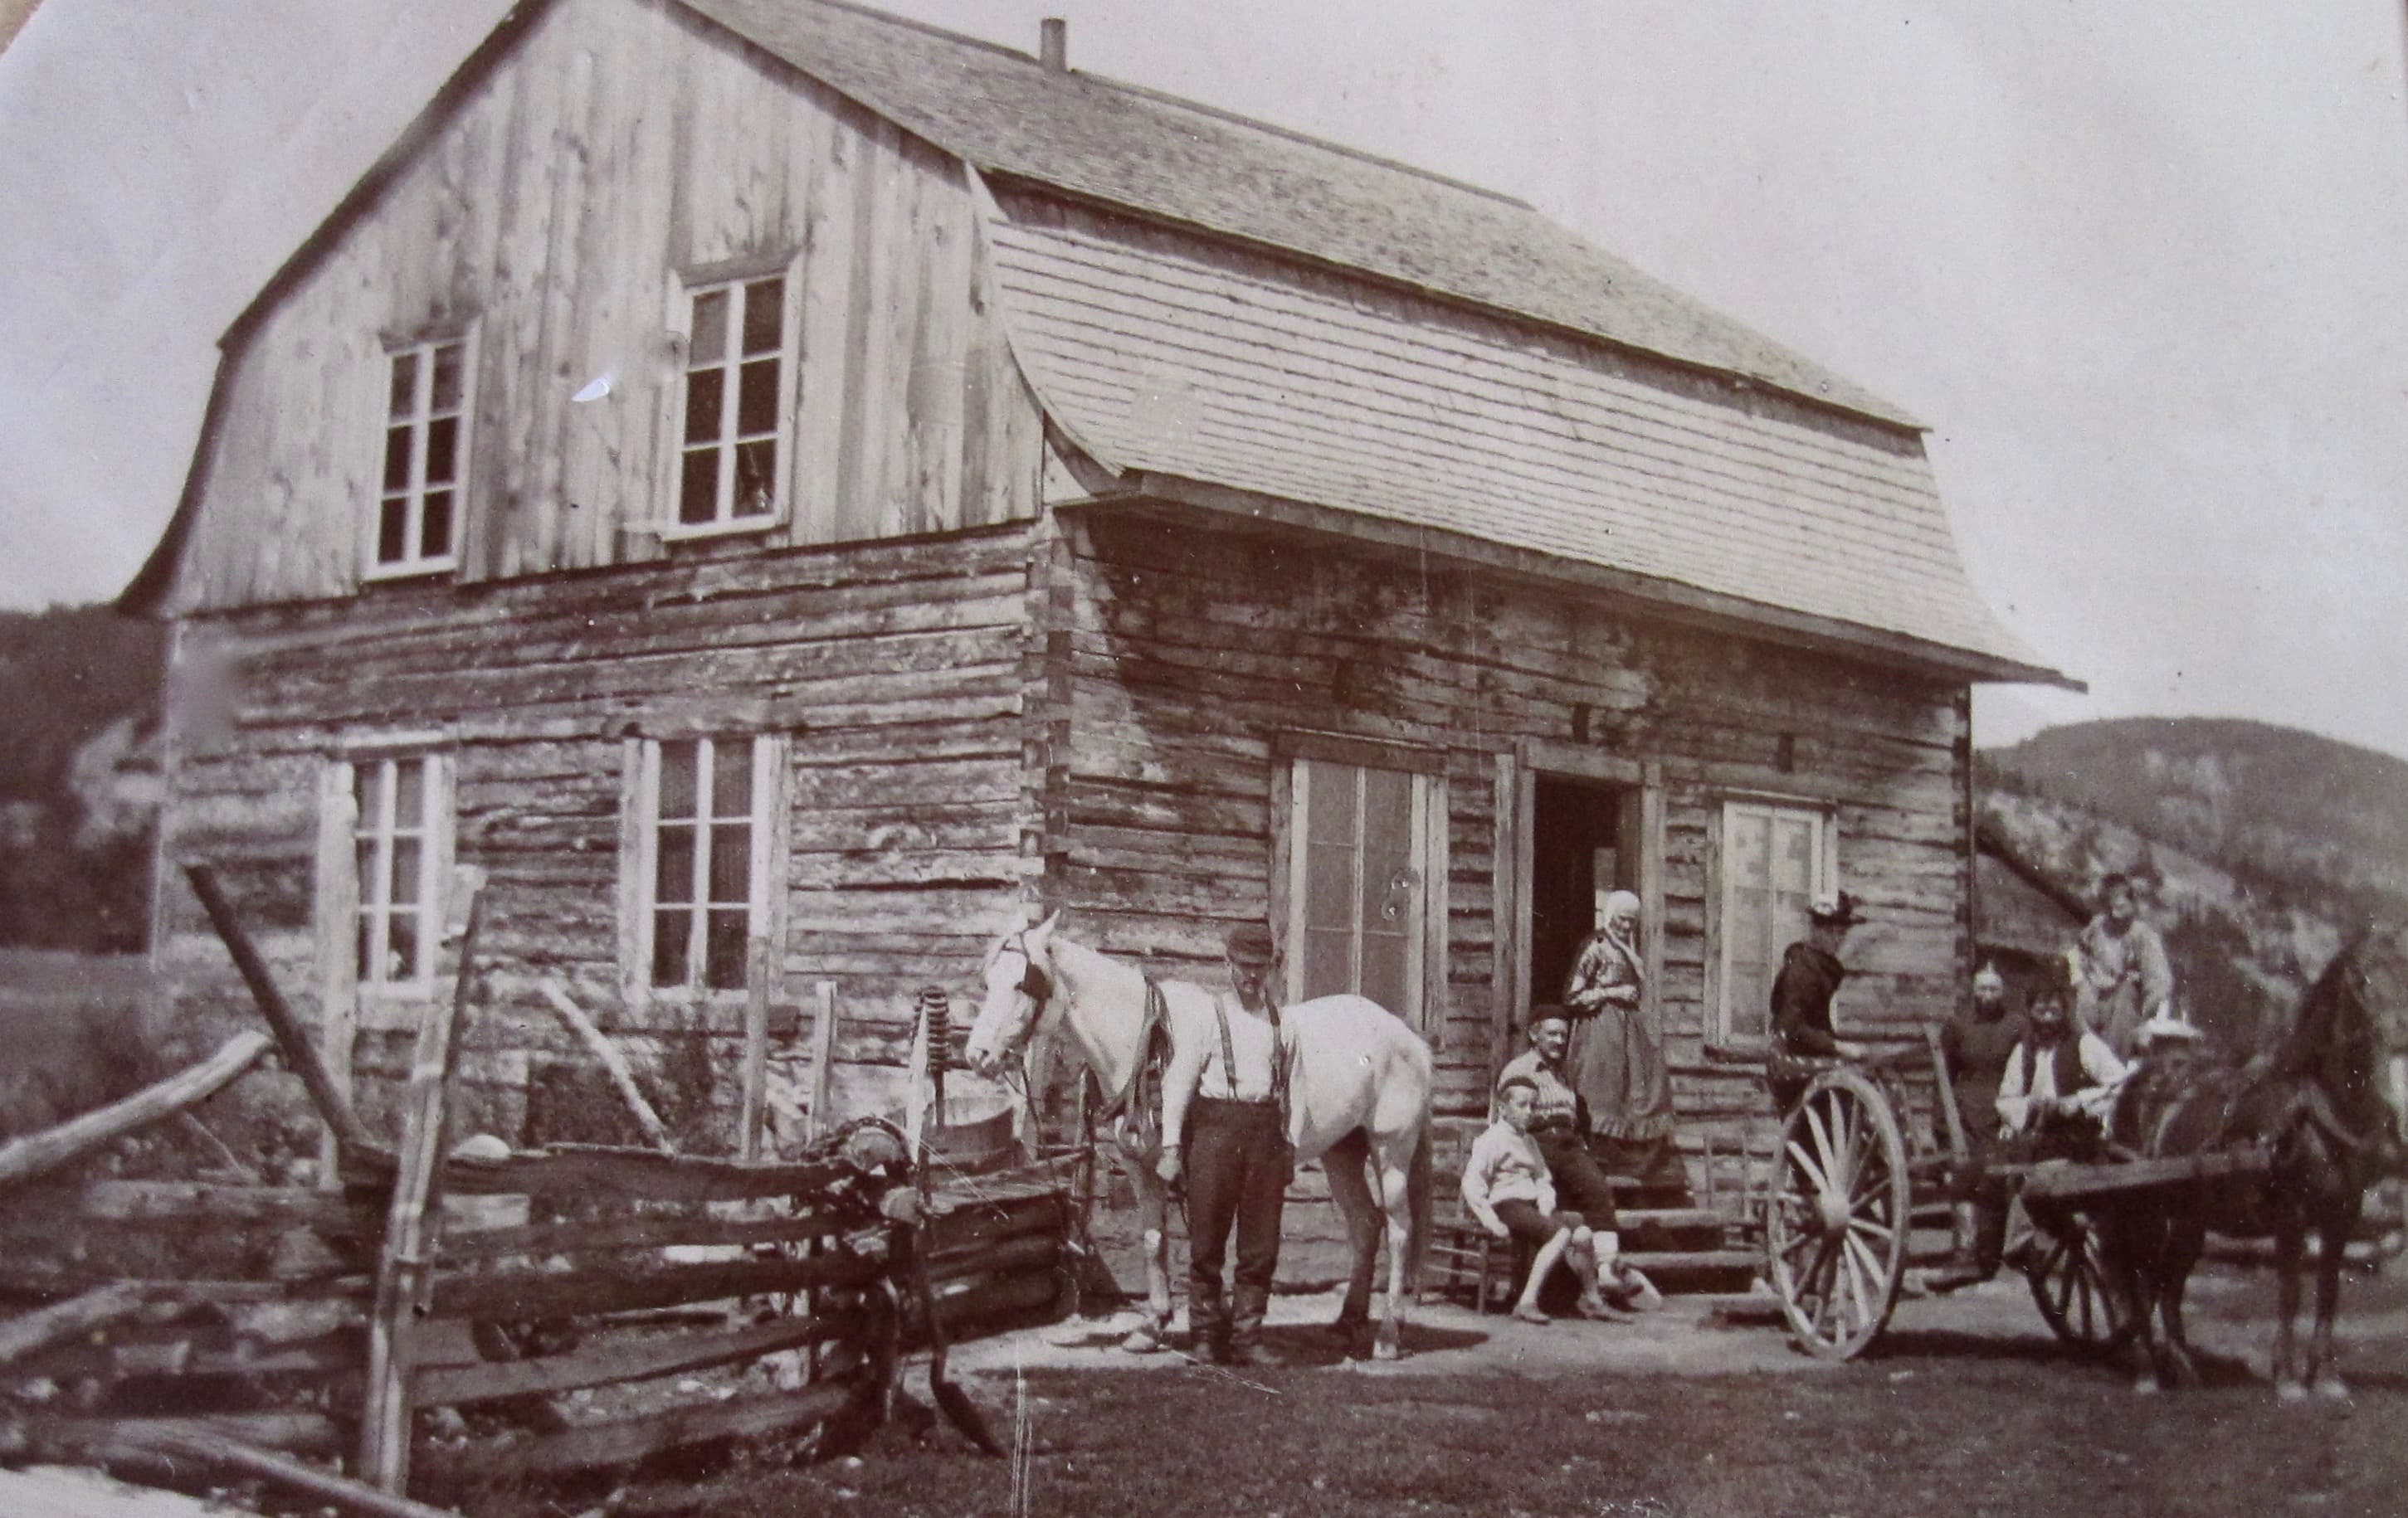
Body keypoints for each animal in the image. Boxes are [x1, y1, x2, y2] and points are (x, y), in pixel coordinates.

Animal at [968, 914, 1435, 1366]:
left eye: (1022, 983)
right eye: (988, 982)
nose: (978, 1056)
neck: (1147, 1046)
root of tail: (1410, 1038)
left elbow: (1202, 1242)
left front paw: (1214, 1328)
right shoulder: (1143, 1167)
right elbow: (1154, 1241)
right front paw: (1152, 1326)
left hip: (1391, 1149)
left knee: (1399, 1229)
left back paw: (1388, 1335)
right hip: (1343, 1152)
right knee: (1365, 1224)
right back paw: (1347, 1322)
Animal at [2099, 918, 2398, 1395]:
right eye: (2365, 979)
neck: (2315, 1114)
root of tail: (2138, 1081)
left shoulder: (2342, 1216)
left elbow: (2329, 1292)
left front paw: (2326, 1376)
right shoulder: (2292, 1216)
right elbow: (2291, 1292)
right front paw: (2288, 1379)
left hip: (2188, 1217)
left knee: (2168, 1282)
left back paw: (2183, 1365)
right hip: (2140, 1208)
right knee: (2137, 1279)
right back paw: (2148, 1371)